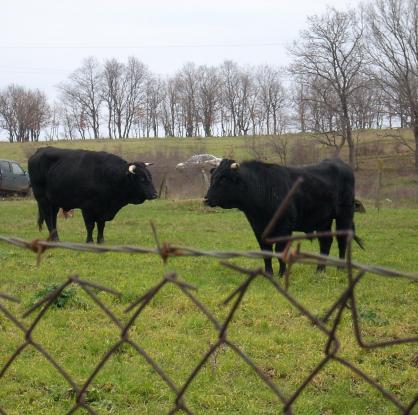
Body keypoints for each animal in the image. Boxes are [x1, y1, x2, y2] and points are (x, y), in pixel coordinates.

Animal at [27, 147, 158, 242]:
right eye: (141, 179)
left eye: (150, 177)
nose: (155, 194)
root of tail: (40, 150)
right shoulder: (87, 208)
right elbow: (90, 225)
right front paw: (89, 241)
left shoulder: (103, 209)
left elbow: (101, 225)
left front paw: (101, 241)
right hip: (43, 199)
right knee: (48, 218)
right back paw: (55, 239)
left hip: (54, 202)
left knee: (53, 218)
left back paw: (55, 238)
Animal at [204, 159, 364, 276]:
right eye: (212, 178)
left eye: (223, 179)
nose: (205, 199)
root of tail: (339, 163)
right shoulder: (258, 228)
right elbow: (266, 252)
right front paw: (269, 273)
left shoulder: (284, 227)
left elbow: (280, 251)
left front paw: (282, 273)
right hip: (323, 219)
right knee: (325, 241)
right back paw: (320, 270)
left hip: (345, 215)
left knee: (342, 240)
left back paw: (340, 268)